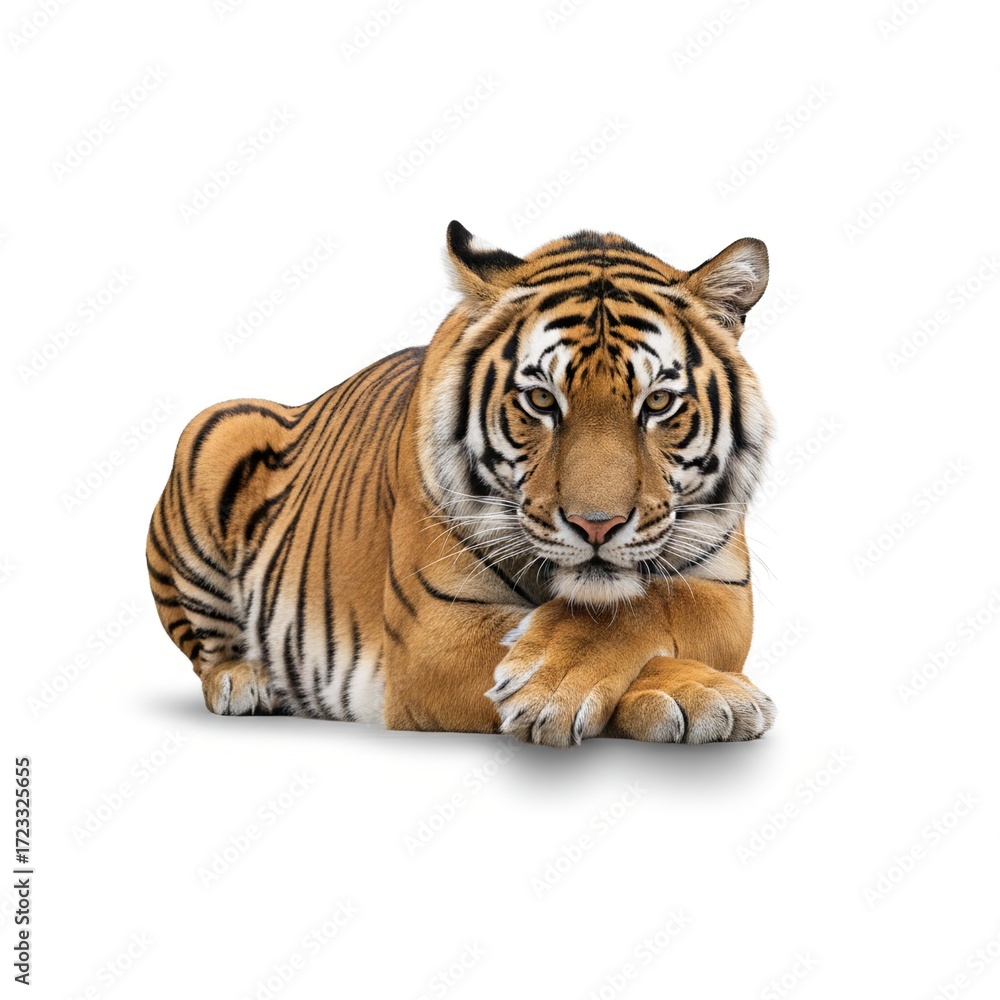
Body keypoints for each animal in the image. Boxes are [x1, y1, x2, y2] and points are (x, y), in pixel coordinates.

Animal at [146, 221, 777, 746]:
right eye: (541, 399)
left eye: (659, 403)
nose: (596, 526)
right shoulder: (433, 631)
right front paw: (686, 691)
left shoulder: (727, 589)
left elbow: (646, 605)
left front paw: (698, 689)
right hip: (218, 429)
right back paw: (247, 680)